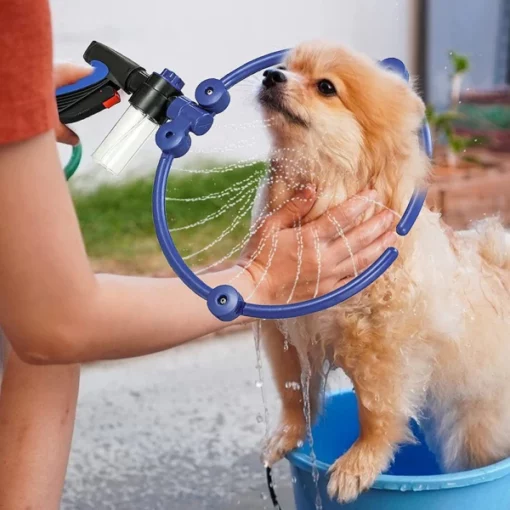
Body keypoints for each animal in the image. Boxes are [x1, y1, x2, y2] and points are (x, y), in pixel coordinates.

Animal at [255, 41, 510, 504]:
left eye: (326, 87)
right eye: (287, 67)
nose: (270, 75)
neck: (328, 197)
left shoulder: (383, 347)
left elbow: (376, 413)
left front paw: (358, 465)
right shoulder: (286, 331)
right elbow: (292, 392)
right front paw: (288, 434)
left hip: (477, 429)